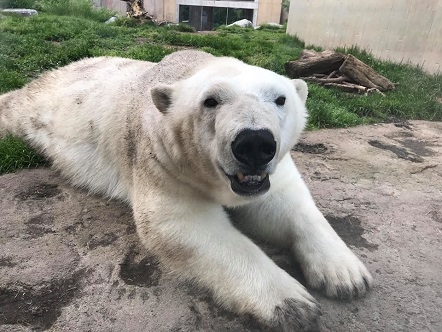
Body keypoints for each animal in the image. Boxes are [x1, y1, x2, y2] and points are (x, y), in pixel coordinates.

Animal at [0, 50, 372, 330]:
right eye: (210, 101)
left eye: (280, 98)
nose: (254, 144)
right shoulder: (163, 159)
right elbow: (180, 224)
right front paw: (291, 304)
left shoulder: (271, 173)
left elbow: (286, 203)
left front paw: (347, 276)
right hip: (42, 103)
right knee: (13, 105)